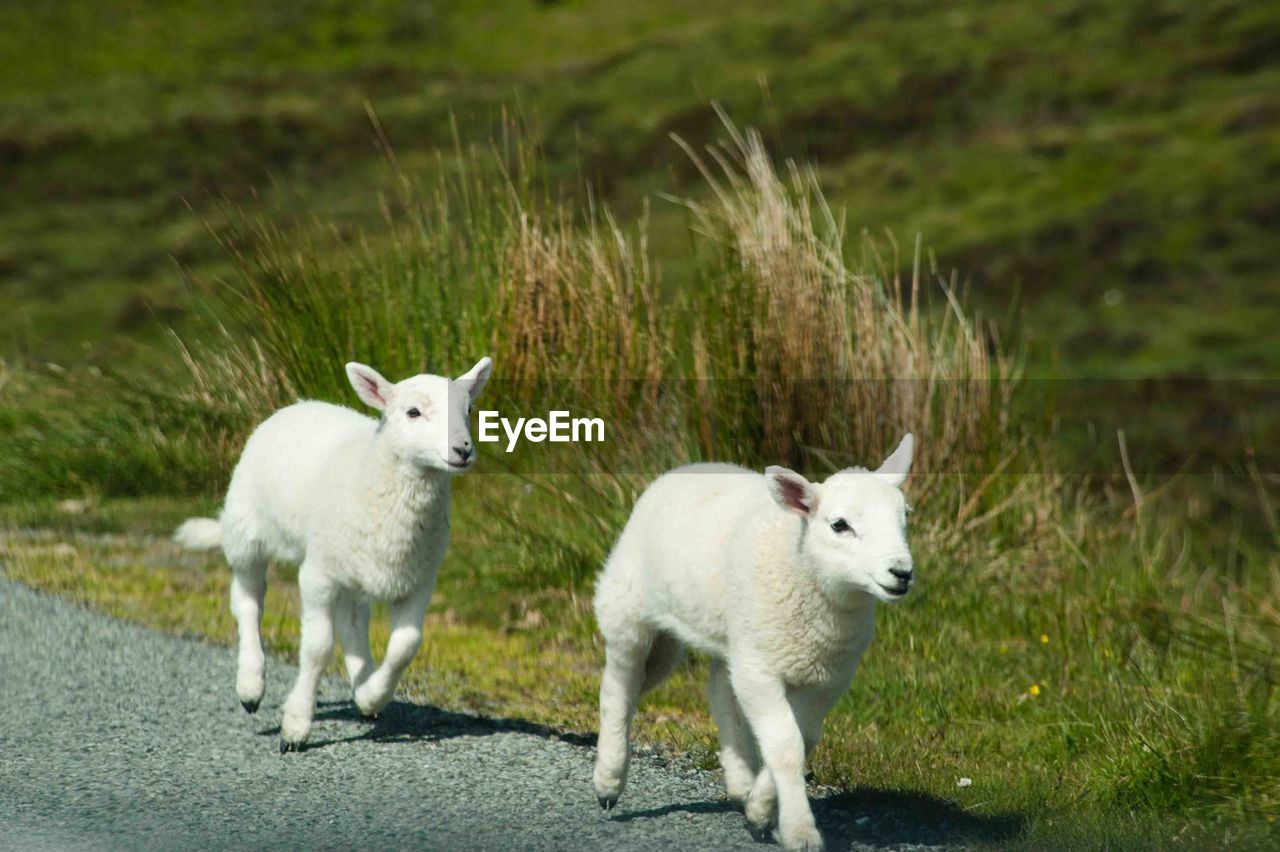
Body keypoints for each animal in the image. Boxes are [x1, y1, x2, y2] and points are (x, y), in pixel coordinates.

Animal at [179, 355, 494, 752]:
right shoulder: (319, 576)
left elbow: (405, 646)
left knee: (352, 621)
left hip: (352, 567)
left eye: (468, 410)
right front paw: (296, 725)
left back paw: (362, 688)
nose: (463, 450)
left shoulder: (418, 579)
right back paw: (250, 685)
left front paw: (374, 695)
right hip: (245, 530)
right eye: (413, 412)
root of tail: (301, 404)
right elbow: (318, 648)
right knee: (248, 601)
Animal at [593, 434, 916, 844]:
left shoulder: (828, 677)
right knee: (619, 687)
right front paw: (799, 830)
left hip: (729, 633)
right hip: (629, 607)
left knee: (720, 691)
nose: (901, 573)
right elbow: (785, 745)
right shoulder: (761, 669)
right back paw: (608, 779)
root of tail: (697, 465)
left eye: (905, 517)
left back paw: (740, 782)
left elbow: (803, 739)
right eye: (840, 525)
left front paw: (760, 810)